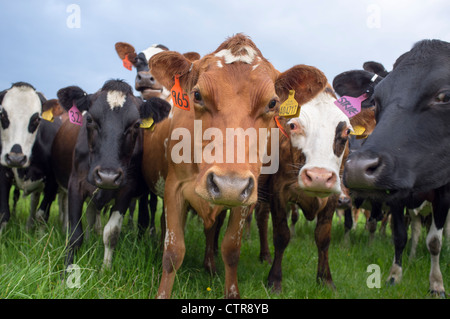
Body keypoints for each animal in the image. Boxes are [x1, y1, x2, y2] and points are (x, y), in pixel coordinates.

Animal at [52, 79, 171, 270]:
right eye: (89, 119)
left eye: (136, 125)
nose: (107, 176)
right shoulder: (75, 184)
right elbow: (75, 235)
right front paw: (68, 270)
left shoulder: (126, 189)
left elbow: (111, 234)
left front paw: (105, 269)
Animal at [342, 38, 448, 298]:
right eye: (375, 99)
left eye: (445, 96)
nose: (358, 167)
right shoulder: (395, 197)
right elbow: (399, 236)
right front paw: (394, 275)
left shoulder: (444, 195)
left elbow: (435, 242)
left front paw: (436, 283)